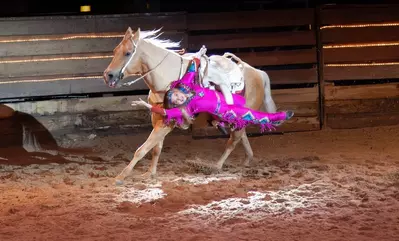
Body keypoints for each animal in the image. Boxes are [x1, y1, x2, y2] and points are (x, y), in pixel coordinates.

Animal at [103, 26, 278, 185]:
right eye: (115, 50)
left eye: (128, 53)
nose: (108, 75)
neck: (167, 77)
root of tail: (257, 72)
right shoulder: (158, 117)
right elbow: (155, 148)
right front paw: (150, 173)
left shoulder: (168, 122)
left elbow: (142, 149)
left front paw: (121, 176)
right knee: (242, 136)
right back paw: (247, 159)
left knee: (233, 140)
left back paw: (216, 166)